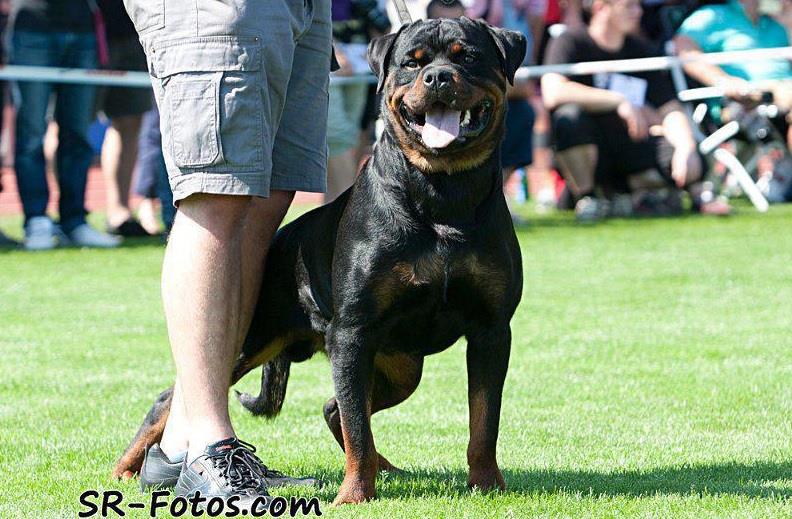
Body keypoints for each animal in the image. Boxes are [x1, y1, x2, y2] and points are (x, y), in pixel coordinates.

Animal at [114, 18, 524, 506]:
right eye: (412, 62)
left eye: (469, 57)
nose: (439, 77)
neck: (440, 194)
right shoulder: (352, 332)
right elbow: (358, 426)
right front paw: (353, 495)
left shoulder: (491, 330)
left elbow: (484, 420)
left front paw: (487, 484)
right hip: (252, 336)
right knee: (176, 395)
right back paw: (127, 469)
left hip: (401, 363)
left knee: (337, 407)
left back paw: (386, 466)